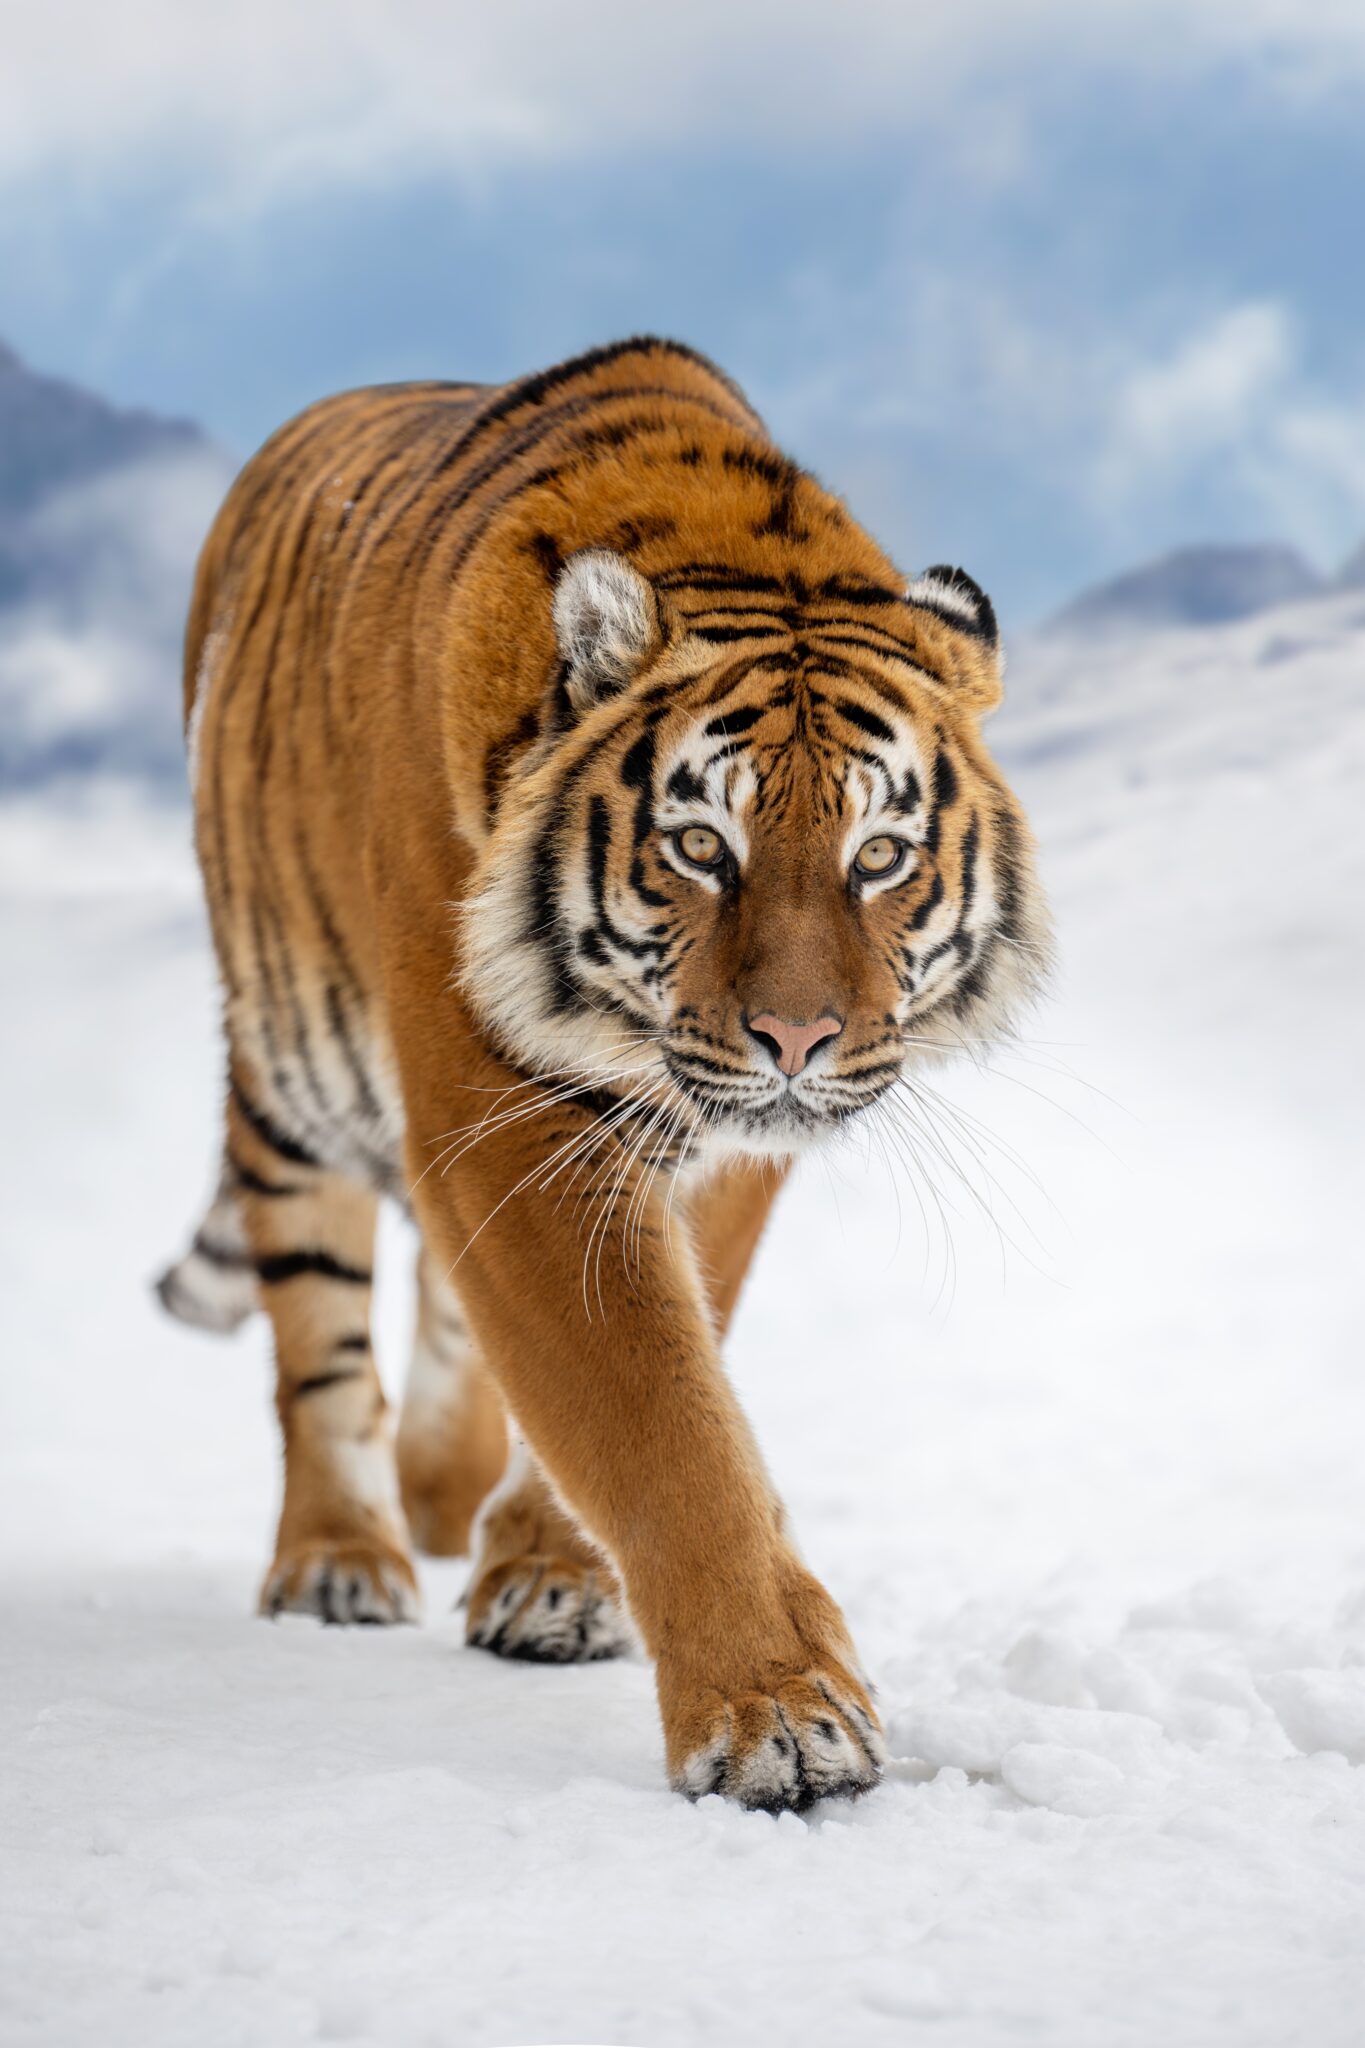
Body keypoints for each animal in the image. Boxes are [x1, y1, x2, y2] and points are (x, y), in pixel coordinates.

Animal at [157, 336, 1050, 1811]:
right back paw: (341, 1557)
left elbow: (649, 1361)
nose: (797, 1039)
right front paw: (780, 1718)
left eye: (878, 856)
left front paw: (551, 1575)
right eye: (700, 848)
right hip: (288, 1075)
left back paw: (441, 1512)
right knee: (321, 1346)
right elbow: (660, 1415)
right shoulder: (504, 1114)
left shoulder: (725, 1150)